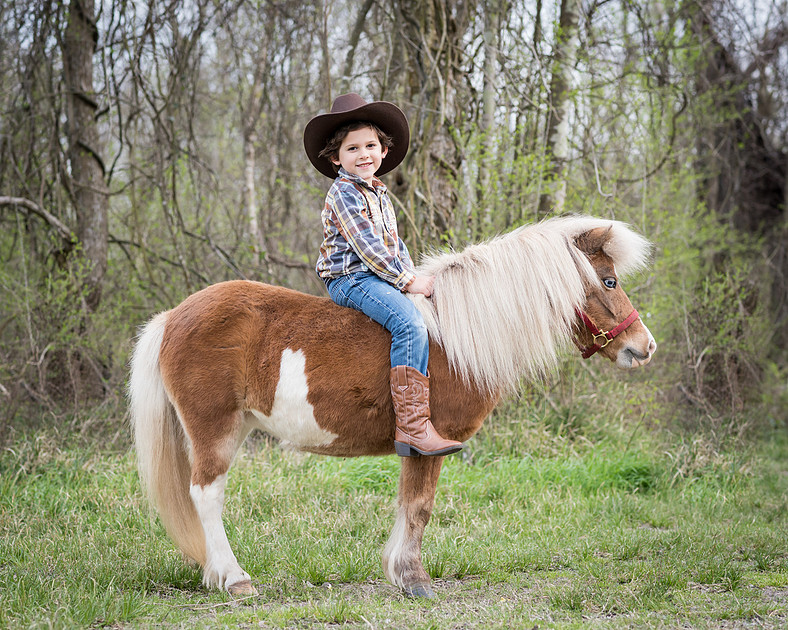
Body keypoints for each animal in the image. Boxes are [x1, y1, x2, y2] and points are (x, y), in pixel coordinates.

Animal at [128, 215, 657, 598]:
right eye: (609, 281)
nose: (644, 347)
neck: (454, 338)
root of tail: (173, 316)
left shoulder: (414, 448)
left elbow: (408, 506)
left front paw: (401, 574)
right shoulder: (431, 443)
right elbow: (420, 508)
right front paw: (415, 580)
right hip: (214, 428)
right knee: (207, 495)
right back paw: (236, 579)